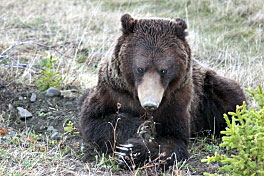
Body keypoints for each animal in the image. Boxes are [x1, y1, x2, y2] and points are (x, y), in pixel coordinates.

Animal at [79, 13, 246, 168]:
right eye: (140, 68)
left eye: (163, 70)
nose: (150, 103)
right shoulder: (113, 91)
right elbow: (95, 120)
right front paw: (142, 128)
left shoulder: (177, 99)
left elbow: (174, 140)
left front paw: (132, 150)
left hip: (209, 91)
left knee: (231, 100)